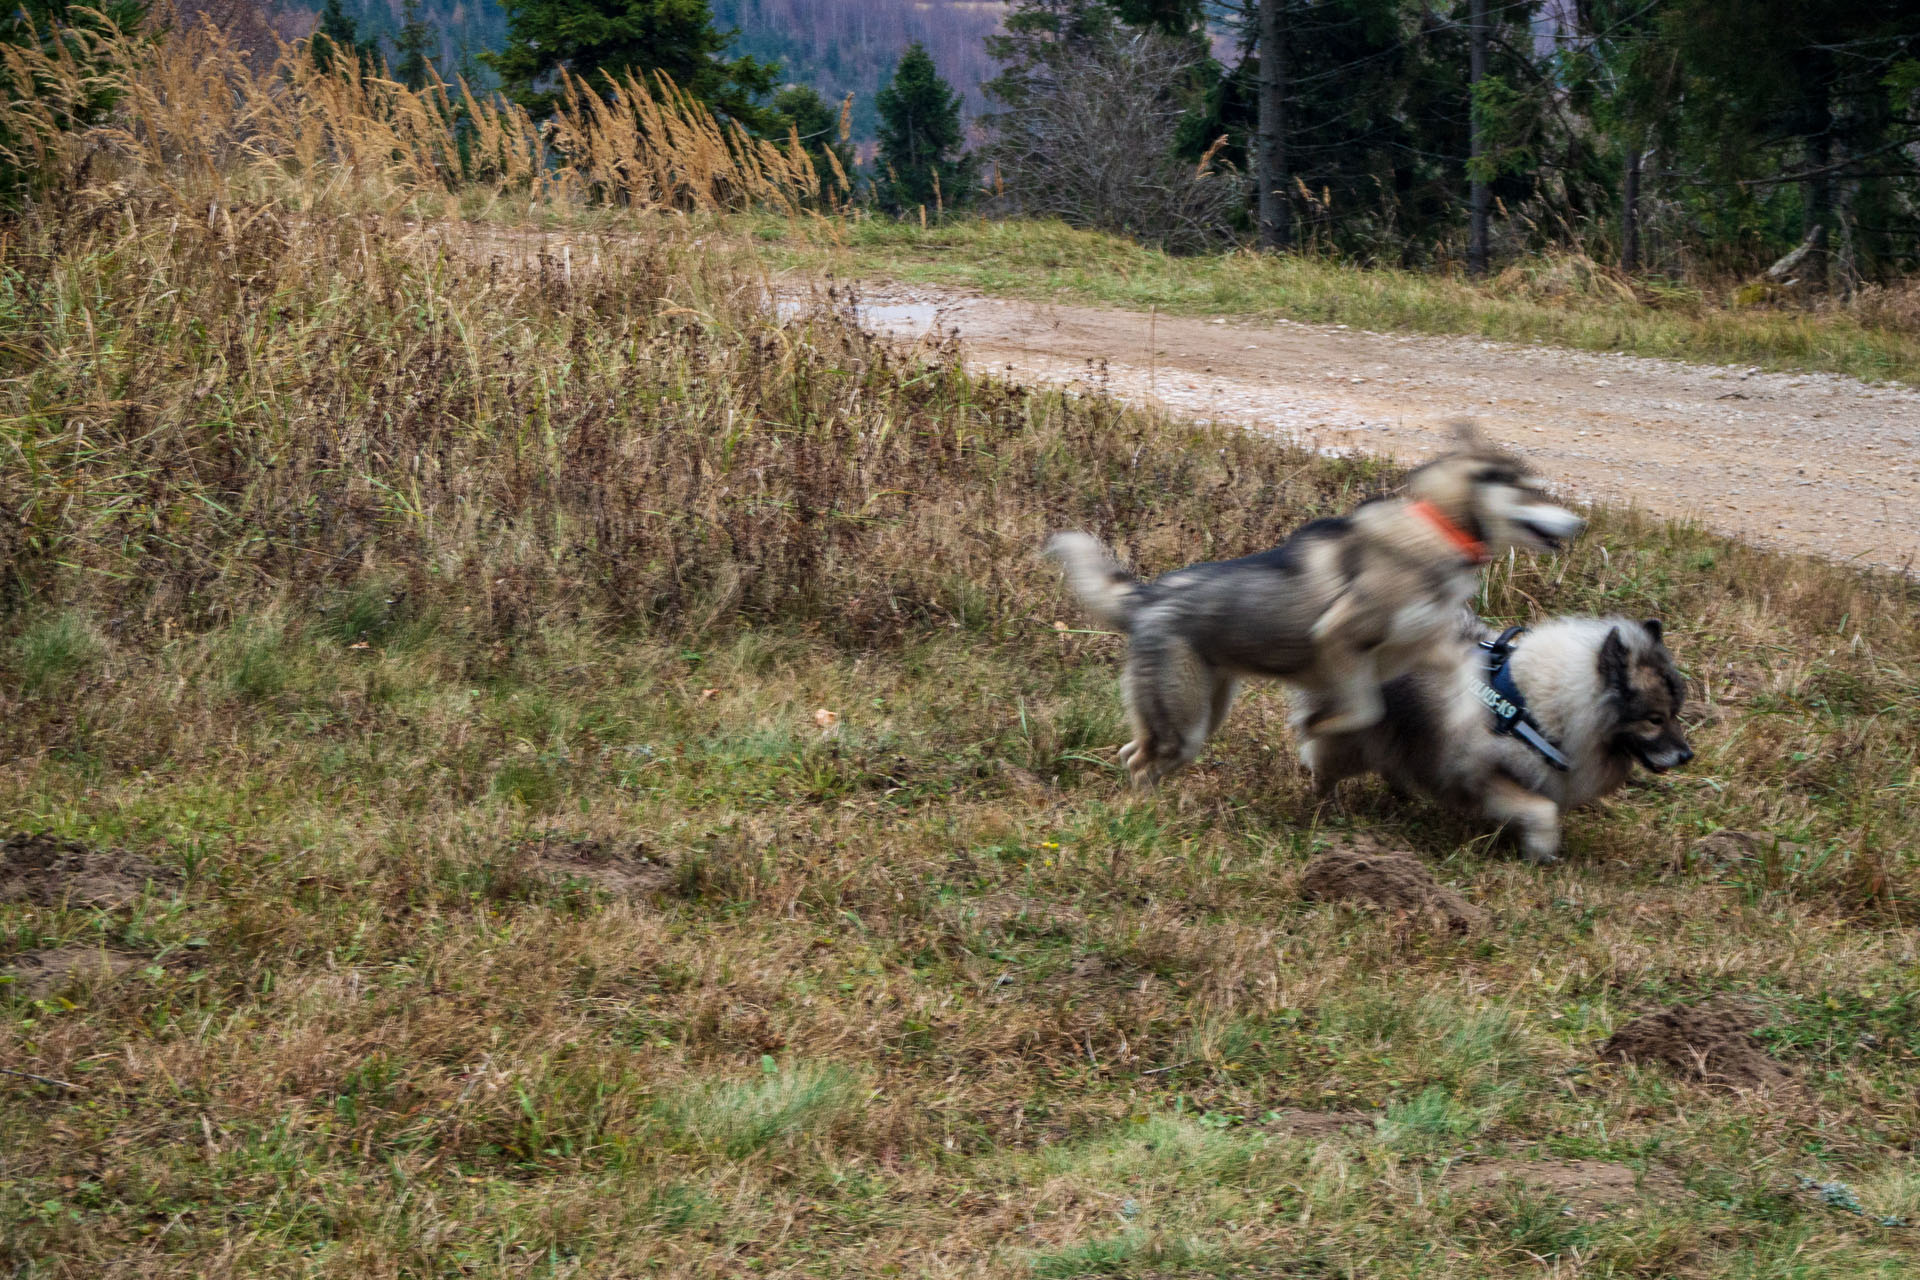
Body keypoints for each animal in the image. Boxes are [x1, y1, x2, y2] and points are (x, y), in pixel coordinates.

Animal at [1297, 617, 1689, 867]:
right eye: (1654, 719)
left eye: (1676, 713)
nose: (1687, 755)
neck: (1540, 708)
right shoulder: (1487, 774)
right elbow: (1542, 811)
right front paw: (1541, 852)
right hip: (1357, 740)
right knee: (1324, 765)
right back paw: (1328, 809)